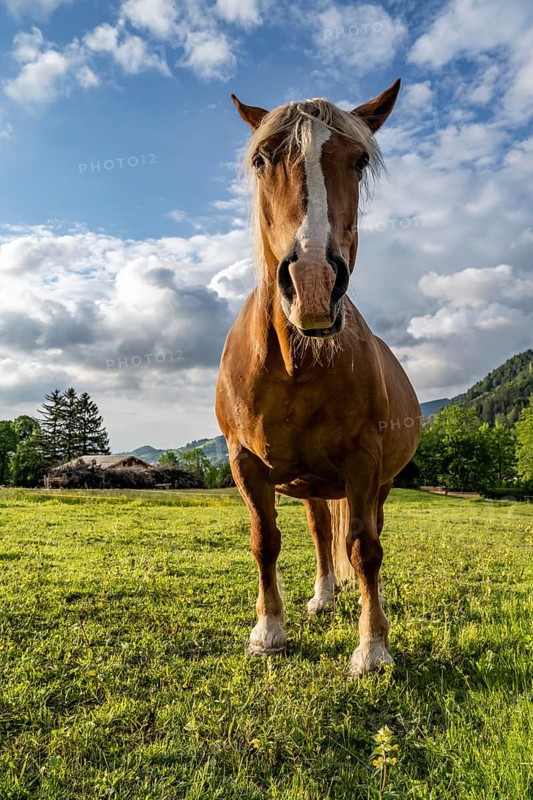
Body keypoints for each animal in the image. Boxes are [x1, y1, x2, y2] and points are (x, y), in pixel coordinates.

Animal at [215, 79, 422, 677]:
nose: (312, 282)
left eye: (358, 161)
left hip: (377, 483)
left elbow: (366, 549)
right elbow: (265, 541)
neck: (294, 365)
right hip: (307, 484)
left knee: (363, 534)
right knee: (319, 533)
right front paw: (268, 631)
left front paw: (372, 648)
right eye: (261, 159)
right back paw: (323, 596)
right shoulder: (246, 461)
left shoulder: (364, 461)